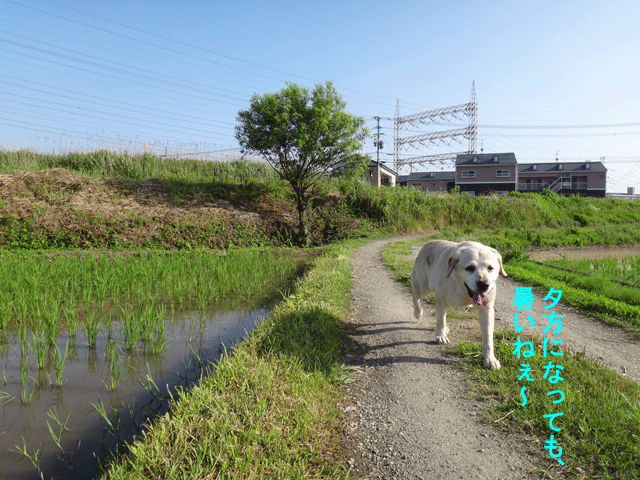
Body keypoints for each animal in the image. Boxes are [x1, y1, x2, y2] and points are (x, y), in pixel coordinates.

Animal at [412, 242, 508, 370]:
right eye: (469, 268)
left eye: (490, 268)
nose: (484, 284)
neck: (462, 288)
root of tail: (427, 243)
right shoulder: (440, 299)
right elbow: (440, 320)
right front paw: (440, 335)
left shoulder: (486, 310)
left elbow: (488, 337)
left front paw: (490, 359)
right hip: (421, 286)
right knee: (415, 296)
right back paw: (418, 313)